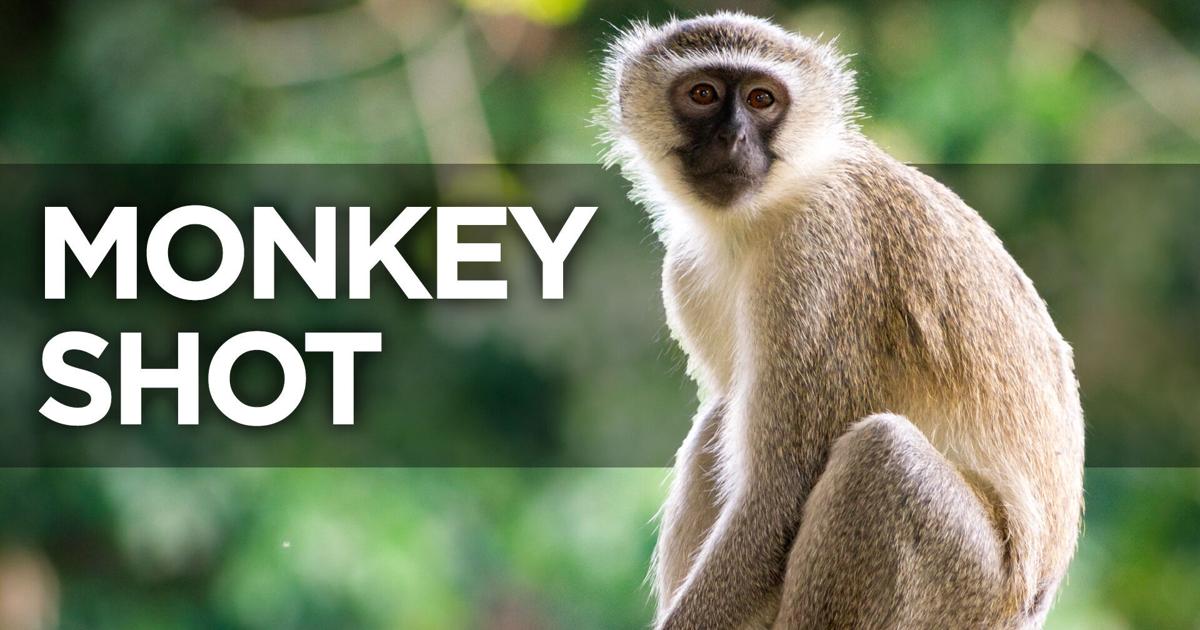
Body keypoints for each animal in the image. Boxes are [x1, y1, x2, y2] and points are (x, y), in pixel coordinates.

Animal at [596, 12, 1085, 630]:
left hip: (969, 588)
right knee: (723, 418)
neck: (764, 211)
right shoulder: (684, 271)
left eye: (761, 99)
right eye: (702, 94)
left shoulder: (816, 258)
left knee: (882, 457)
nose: (733, 138)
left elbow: (776, 501)